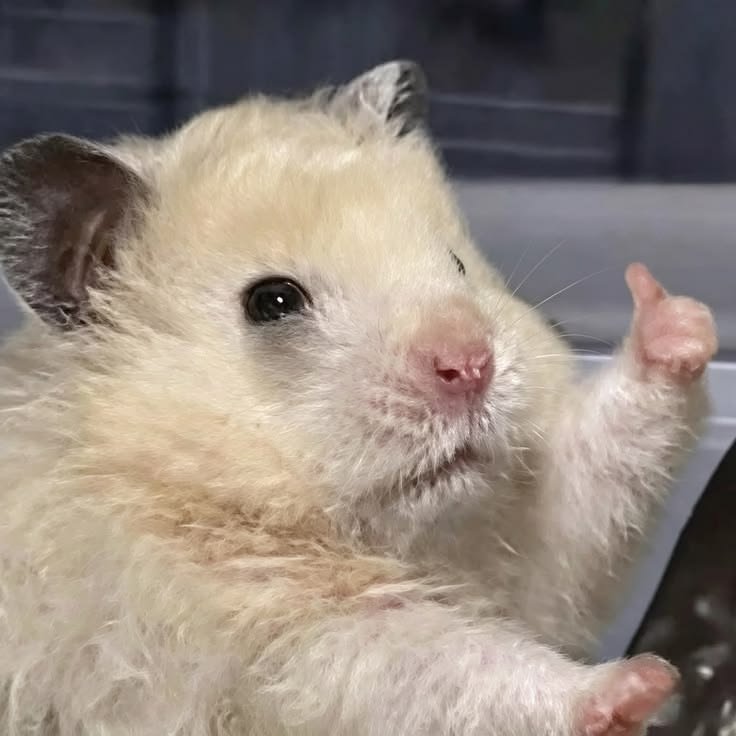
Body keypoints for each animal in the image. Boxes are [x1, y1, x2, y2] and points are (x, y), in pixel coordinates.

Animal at [0, 60, 718, 736]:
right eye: (272, 301)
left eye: (457, 263)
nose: (471, 364)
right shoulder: (278, 645)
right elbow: (452, 670)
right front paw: (639, 684)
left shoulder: (533, 546)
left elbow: (591, 487)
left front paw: (674, 314)